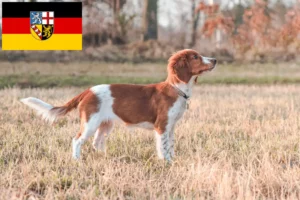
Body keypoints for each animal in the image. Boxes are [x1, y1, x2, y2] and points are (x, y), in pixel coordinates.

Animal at [20, 48, 216, 162]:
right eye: (196, 57)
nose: (215, 60)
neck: (176, 89)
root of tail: (87, 91)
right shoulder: (161, 126)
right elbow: (163, 147)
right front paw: (165, 163)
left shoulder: (171, 127)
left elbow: (171, 146)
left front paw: (172, 161)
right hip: (90, 123)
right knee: (77, 140)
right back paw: (76, 160)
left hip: (105, 124)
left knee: (96, 143)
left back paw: (106, 158)